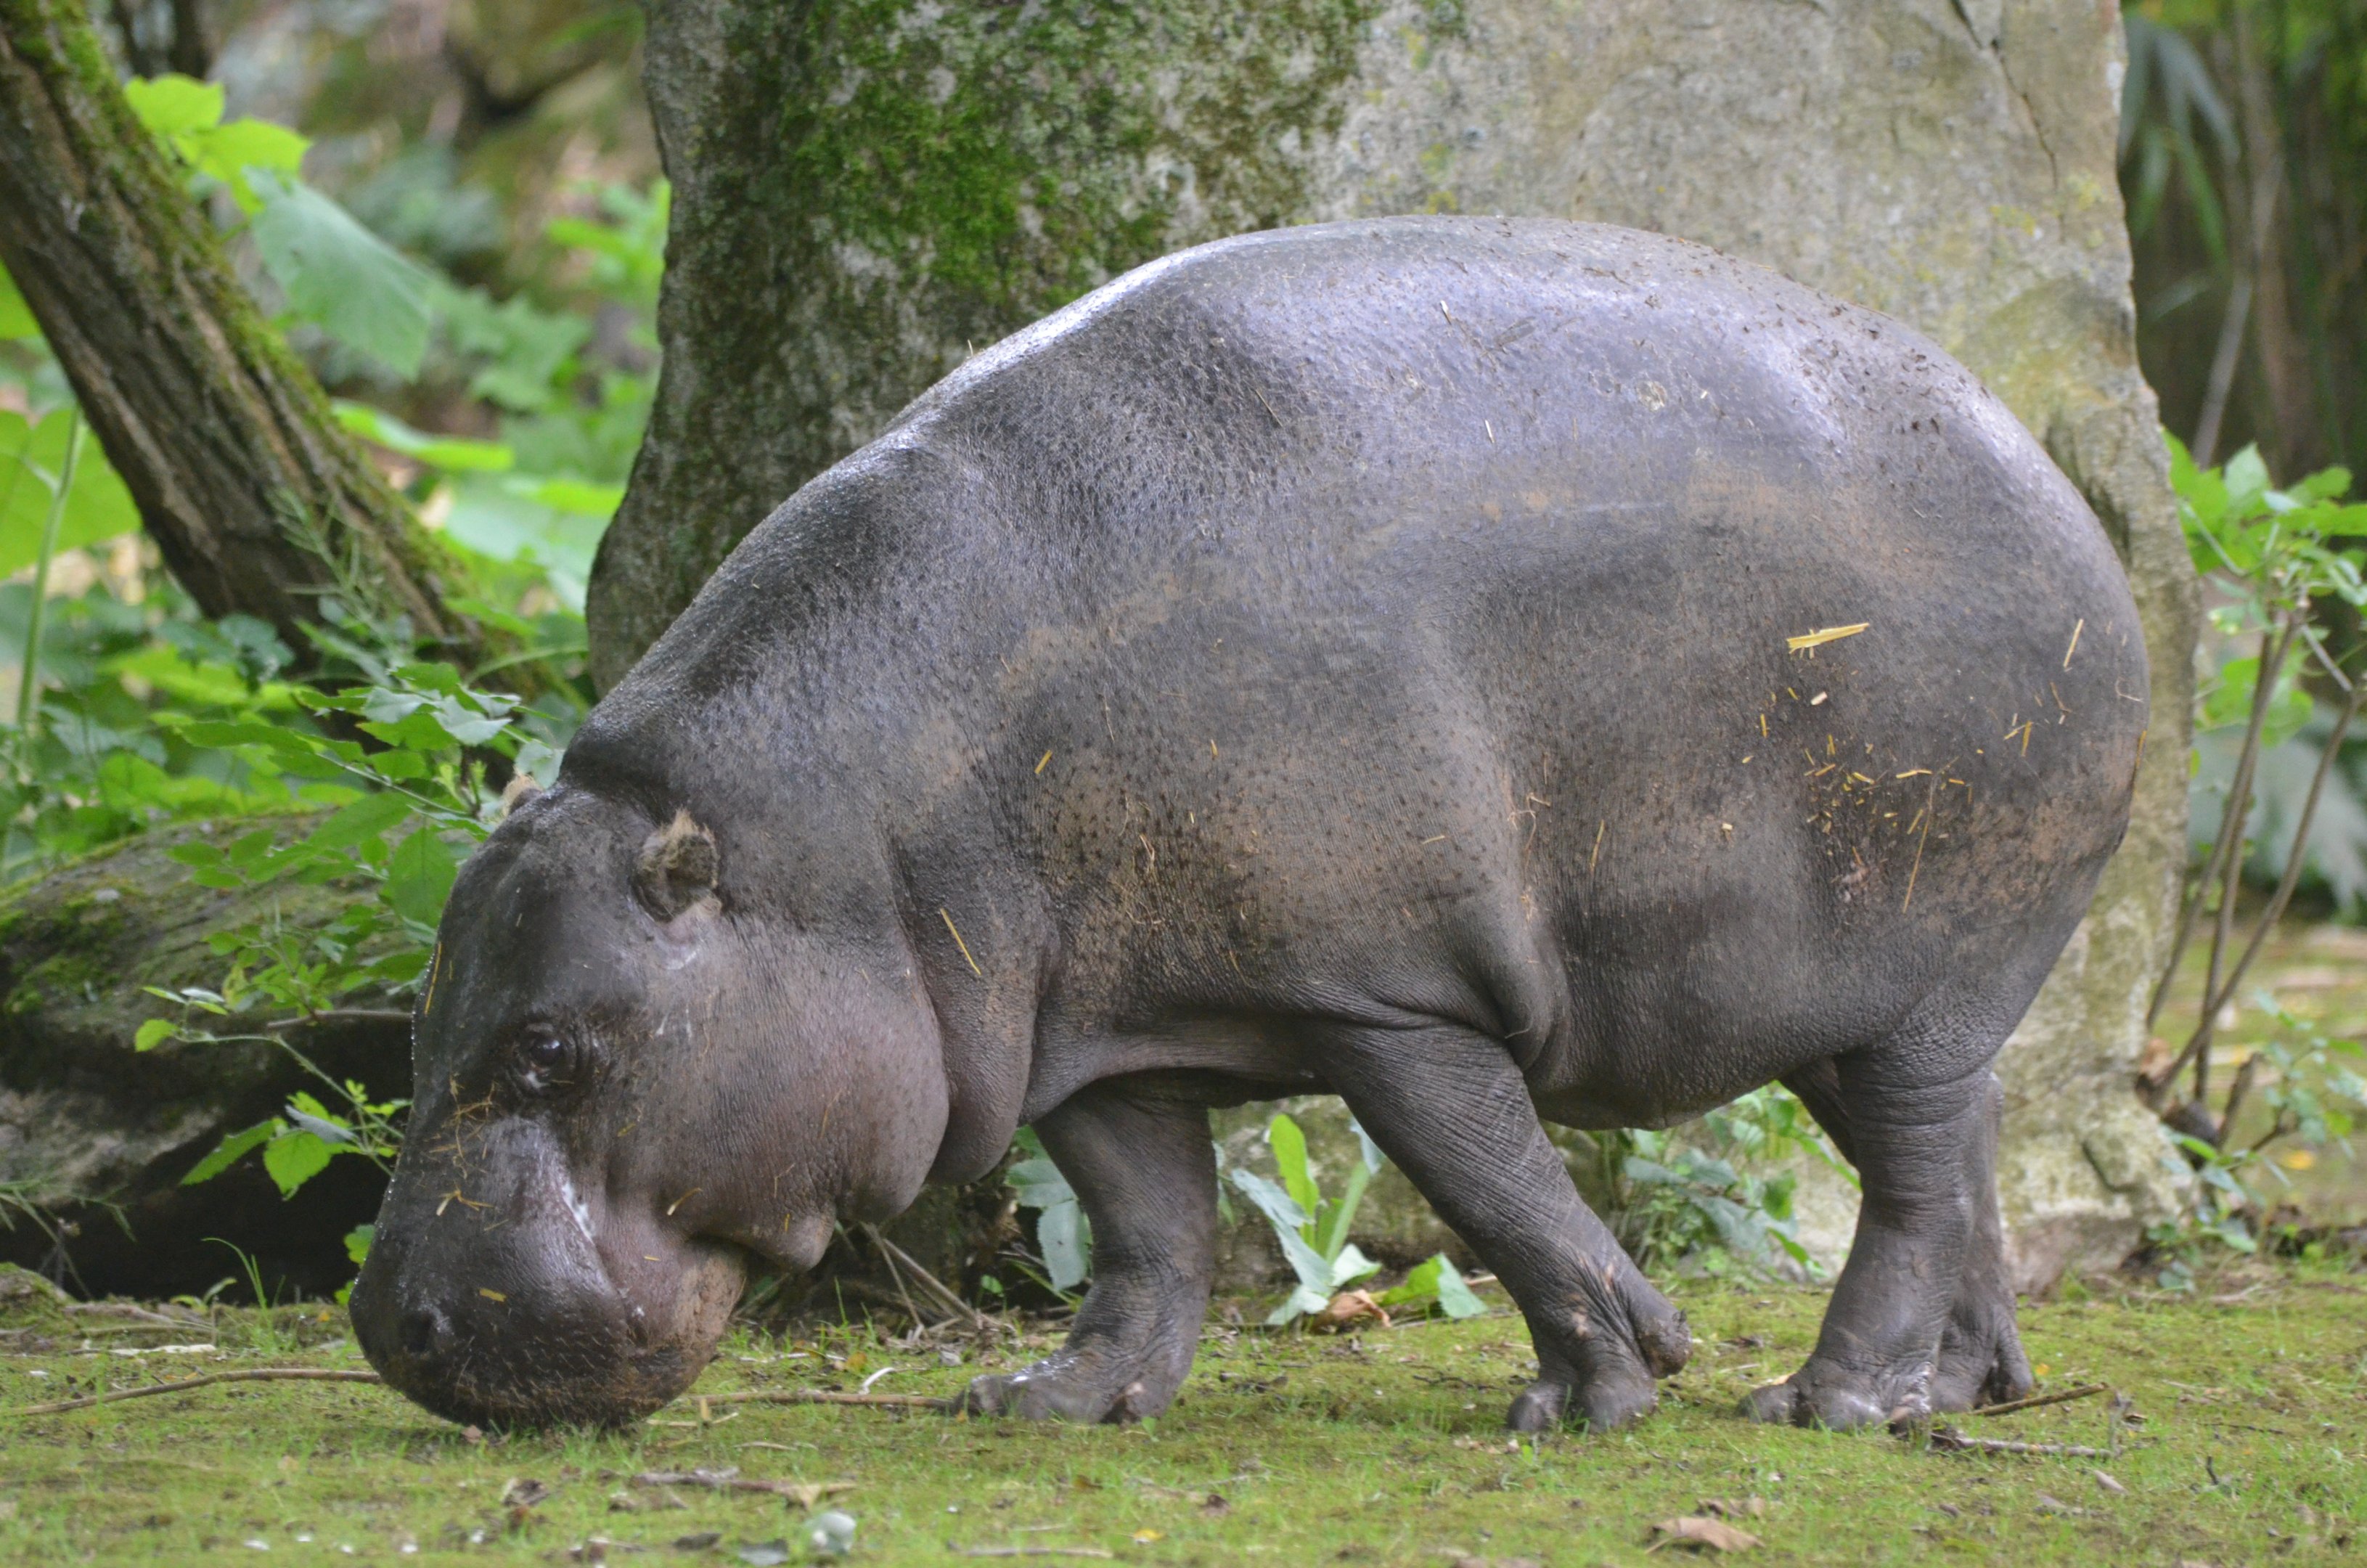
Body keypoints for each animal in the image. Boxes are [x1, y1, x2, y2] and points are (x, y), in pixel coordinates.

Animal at [349, 217, 2146, 1435]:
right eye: (421, 1020)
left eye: (547, 1053)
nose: (388, 1330)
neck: (841, 834)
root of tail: (2078, 512)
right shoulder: (1097, 1028)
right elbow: (1148, 1229)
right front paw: (1050, 1403)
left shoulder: (1387, 995)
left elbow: (1495, 1185)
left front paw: (1599, 1394)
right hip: (1840, 997)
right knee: (1964, 1157)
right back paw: (1956, 1395)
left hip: (1927, 962)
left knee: (1908, 1184)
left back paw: (1824, 1403)